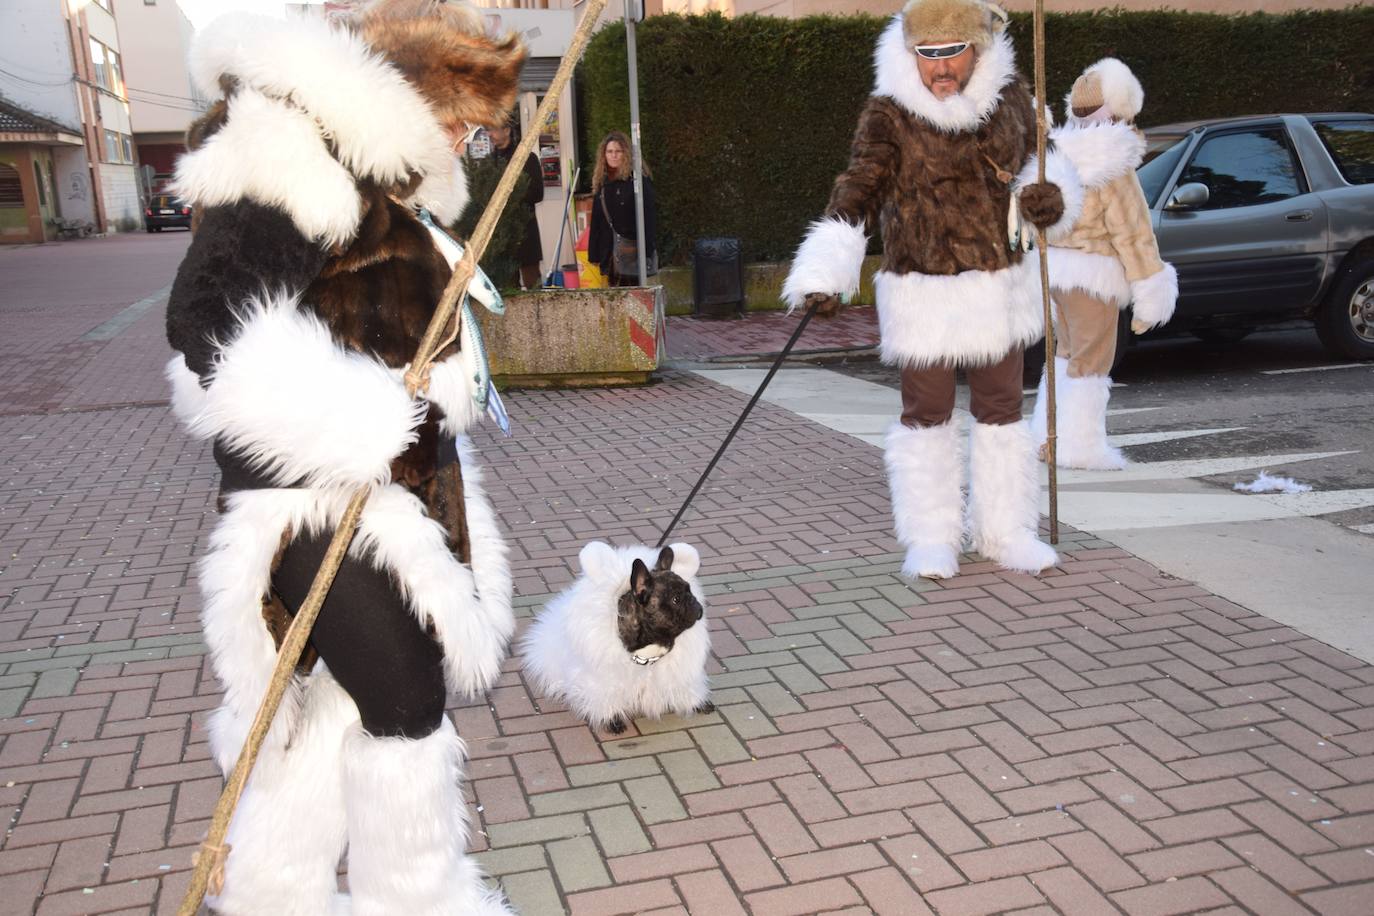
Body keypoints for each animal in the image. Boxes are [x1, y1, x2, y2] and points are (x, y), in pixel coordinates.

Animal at [522, 541, 714, 736]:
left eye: (690, 591)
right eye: (676, 599)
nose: (695, 603)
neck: (651, 646)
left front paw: (696, 701)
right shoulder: (604, 678)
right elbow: (605, 696)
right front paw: (612, 719)